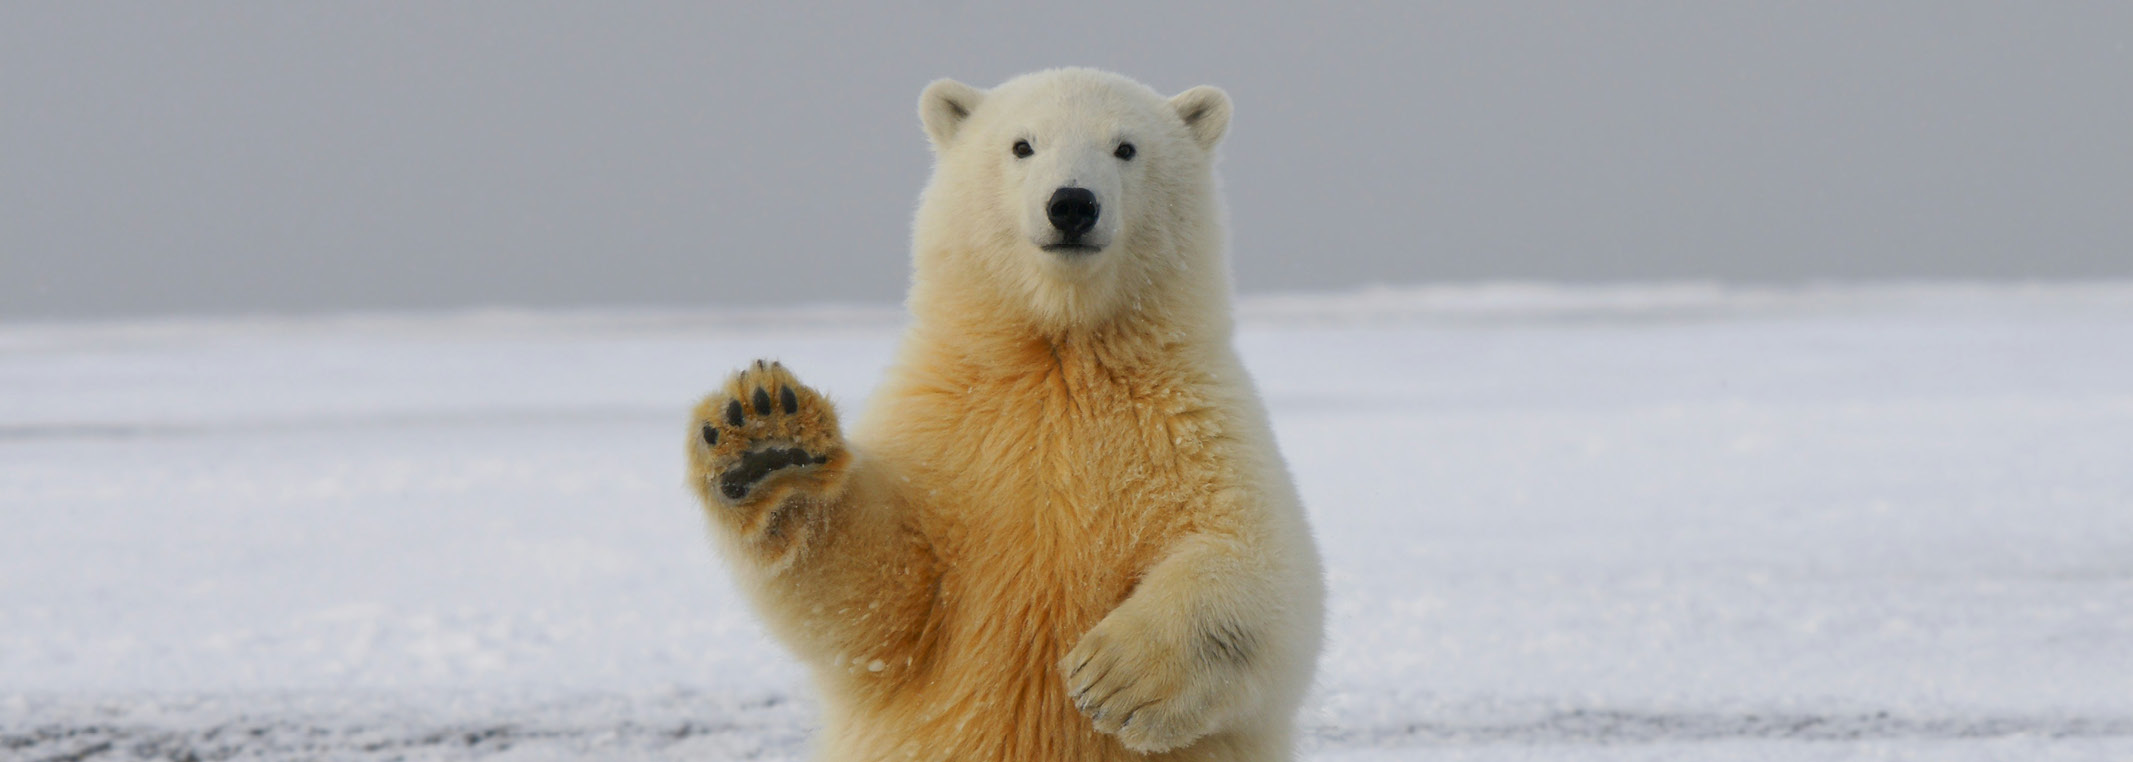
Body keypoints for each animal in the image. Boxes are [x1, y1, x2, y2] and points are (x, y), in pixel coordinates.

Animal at [686, 68, 1313, 755]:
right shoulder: (945, 430)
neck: (1058, 358)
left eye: (1125, 147)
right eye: (1022, 145)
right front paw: (768, 440)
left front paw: (1113, 677)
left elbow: (1263, 565)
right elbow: (880, 600)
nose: (1072, 204)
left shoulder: (1190, 424)